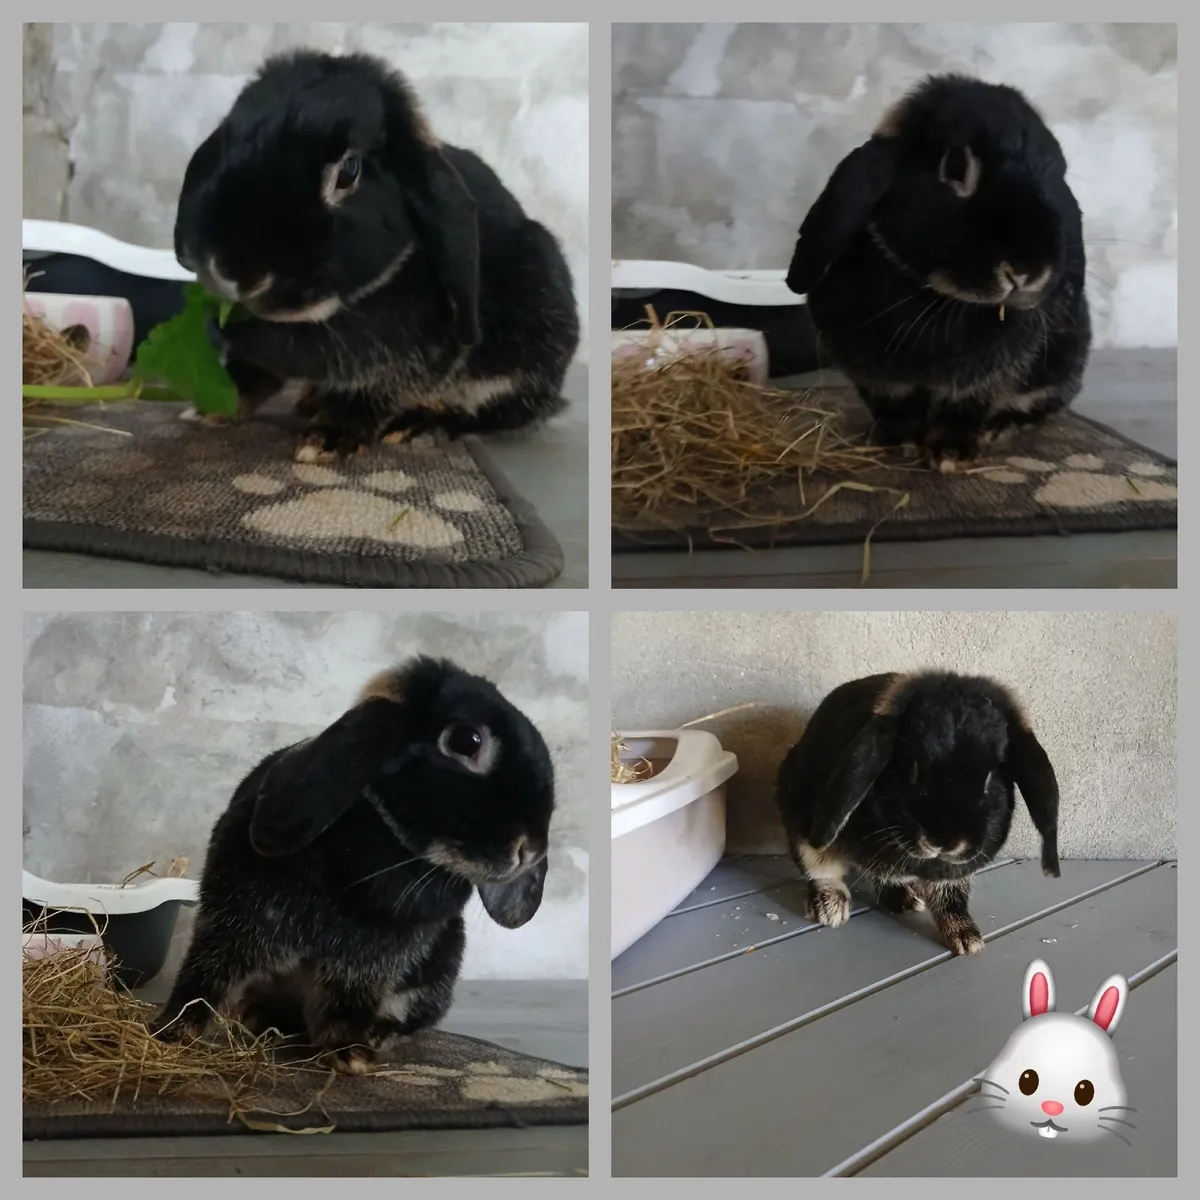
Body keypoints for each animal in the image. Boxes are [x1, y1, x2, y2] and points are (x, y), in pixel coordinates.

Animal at [148, 655, 555, 1073]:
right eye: (466, 741)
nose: (532, 849)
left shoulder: (368, 966)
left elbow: (346, 1005)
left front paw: (350, 1056)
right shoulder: (234, 922)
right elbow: (204, 980)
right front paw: (171, 1034)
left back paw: (374, 1036)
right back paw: (256, 1018)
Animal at [173, 48, 580, 463]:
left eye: (348, 172)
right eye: (228, 138)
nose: (232, 271)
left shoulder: (406, 354)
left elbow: (375, 389)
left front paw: (329, 439)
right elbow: (251, 371)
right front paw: (210, 408)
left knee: (493, 410)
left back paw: (418, 425)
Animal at [775, 670, 1060, 956]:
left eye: (991, 777)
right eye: (911, 767)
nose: (944, 842)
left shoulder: (952, 874)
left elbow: (950, 900)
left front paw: (967, 939)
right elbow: (822, 867)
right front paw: (831, 909)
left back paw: (905, 900)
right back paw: (831, 905)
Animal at [784, 73, 1092, 473]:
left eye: (1058, 173)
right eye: (956, 166)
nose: (1027, 272)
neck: (939, 297)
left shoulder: (979, 384)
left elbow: (962, 413)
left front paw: (949, 455)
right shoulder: (878, 378)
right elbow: (894, 408)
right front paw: (900, 443)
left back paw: (998, 429)